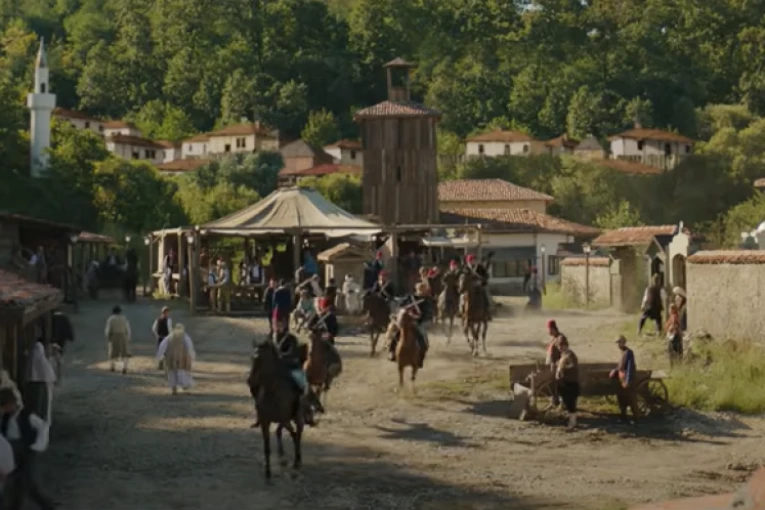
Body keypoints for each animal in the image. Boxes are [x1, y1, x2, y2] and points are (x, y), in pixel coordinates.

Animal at [247, 339, 304, 479]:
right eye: (252, 358)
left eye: (260, 359)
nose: (250, 381)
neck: (272, 391)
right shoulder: (265, 422)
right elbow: (267, 448)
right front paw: (267, 473)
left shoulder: (284, 419)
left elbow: (294, 435)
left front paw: (295, 462)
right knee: (283, 432)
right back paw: (282, 454)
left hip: (296, 417)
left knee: (298, 432)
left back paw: (297, 459)